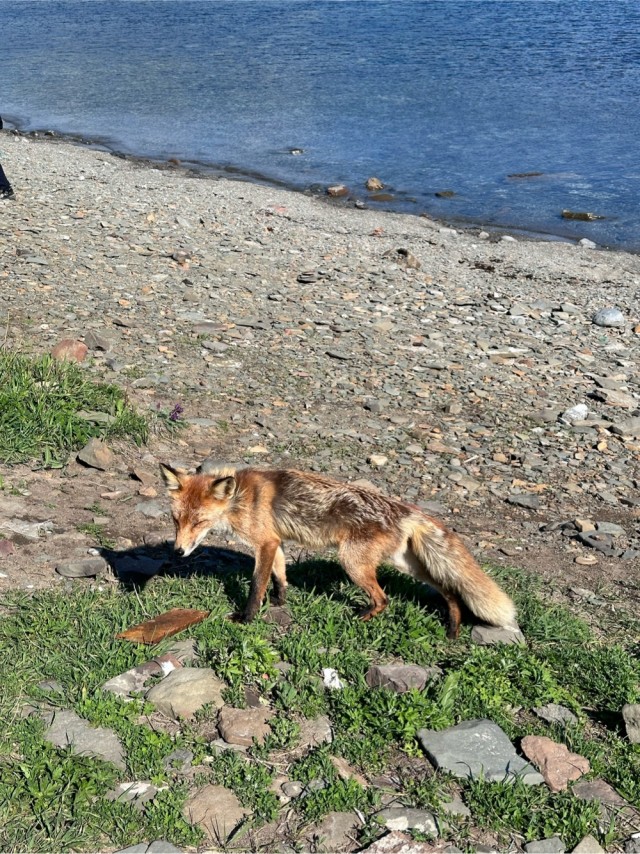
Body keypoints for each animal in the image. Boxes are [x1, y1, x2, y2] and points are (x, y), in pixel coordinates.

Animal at [159, 463, 516, 639]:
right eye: (177, 520)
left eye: (200, 521)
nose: (178, 552)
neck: (241, 498)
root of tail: (404, 510)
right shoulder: (275, 542)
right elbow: (280, 576)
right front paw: (280, 601)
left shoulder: (264, 543)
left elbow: (256, 586)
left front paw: (246, 618)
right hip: (407, 565)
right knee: (449, 590)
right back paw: (453, 628)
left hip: (352, 563)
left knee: (384, 599)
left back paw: (361, 617)